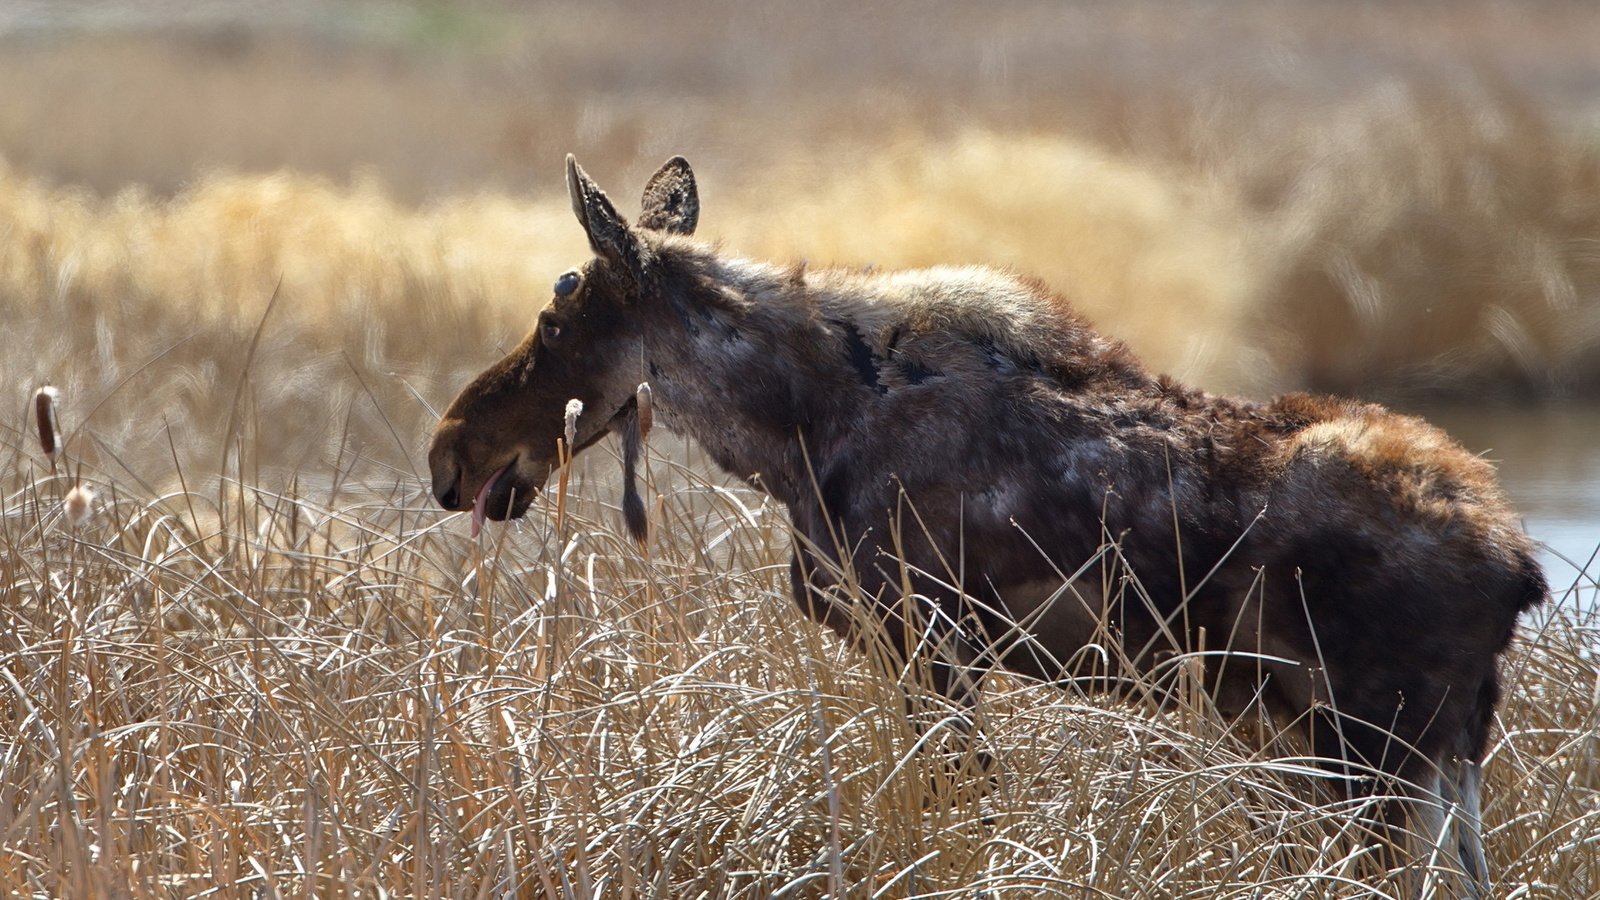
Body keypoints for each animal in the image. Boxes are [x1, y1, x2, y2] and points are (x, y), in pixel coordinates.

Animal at [428, 152, 1548, 883]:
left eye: (555, 320)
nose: (450, 454)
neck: (793, 433)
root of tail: (1518, 566)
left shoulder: (931, 642)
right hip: (1426, 757)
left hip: (1374, 751)